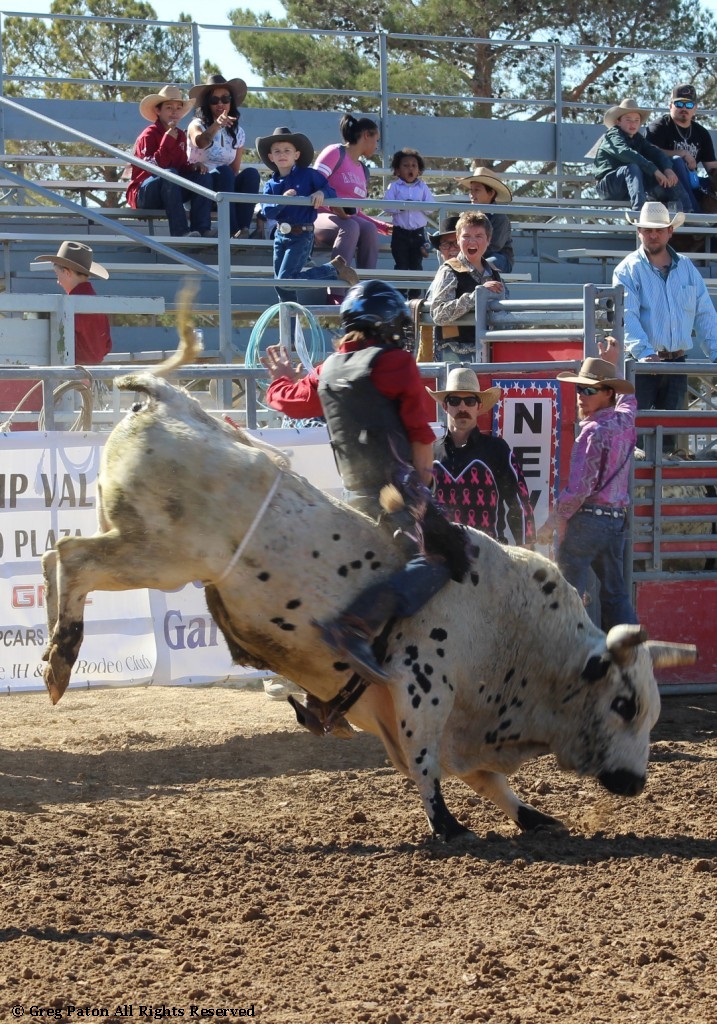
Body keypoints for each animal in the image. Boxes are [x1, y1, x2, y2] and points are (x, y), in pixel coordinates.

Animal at [41, 304, 697, 841]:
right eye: (624, 705)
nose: (636, 782)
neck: (522, 638)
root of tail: (168, 398)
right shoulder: (423, 690)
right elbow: (428, 765)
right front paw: (447, 826)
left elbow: (487, 778)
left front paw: (533, 815)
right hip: (159, 552)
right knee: (70, 558)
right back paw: (59, 661)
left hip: (142, 544)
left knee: (55, 556)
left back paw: (55, 656)